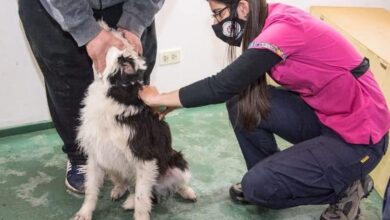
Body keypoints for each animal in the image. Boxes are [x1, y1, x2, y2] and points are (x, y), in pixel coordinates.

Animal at [73, 22, 197, 220]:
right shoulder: (95, 155)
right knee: (130, 186)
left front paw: (140, 214)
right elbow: (91, 189)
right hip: (112, 164)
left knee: (174, 184)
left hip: (176, 161)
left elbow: (141, 198)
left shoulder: (145, 159)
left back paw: (187, 192)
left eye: (122, 55)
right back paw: (120, 190)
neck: (114, 96)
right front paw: (84, 213)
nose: (115, 28)